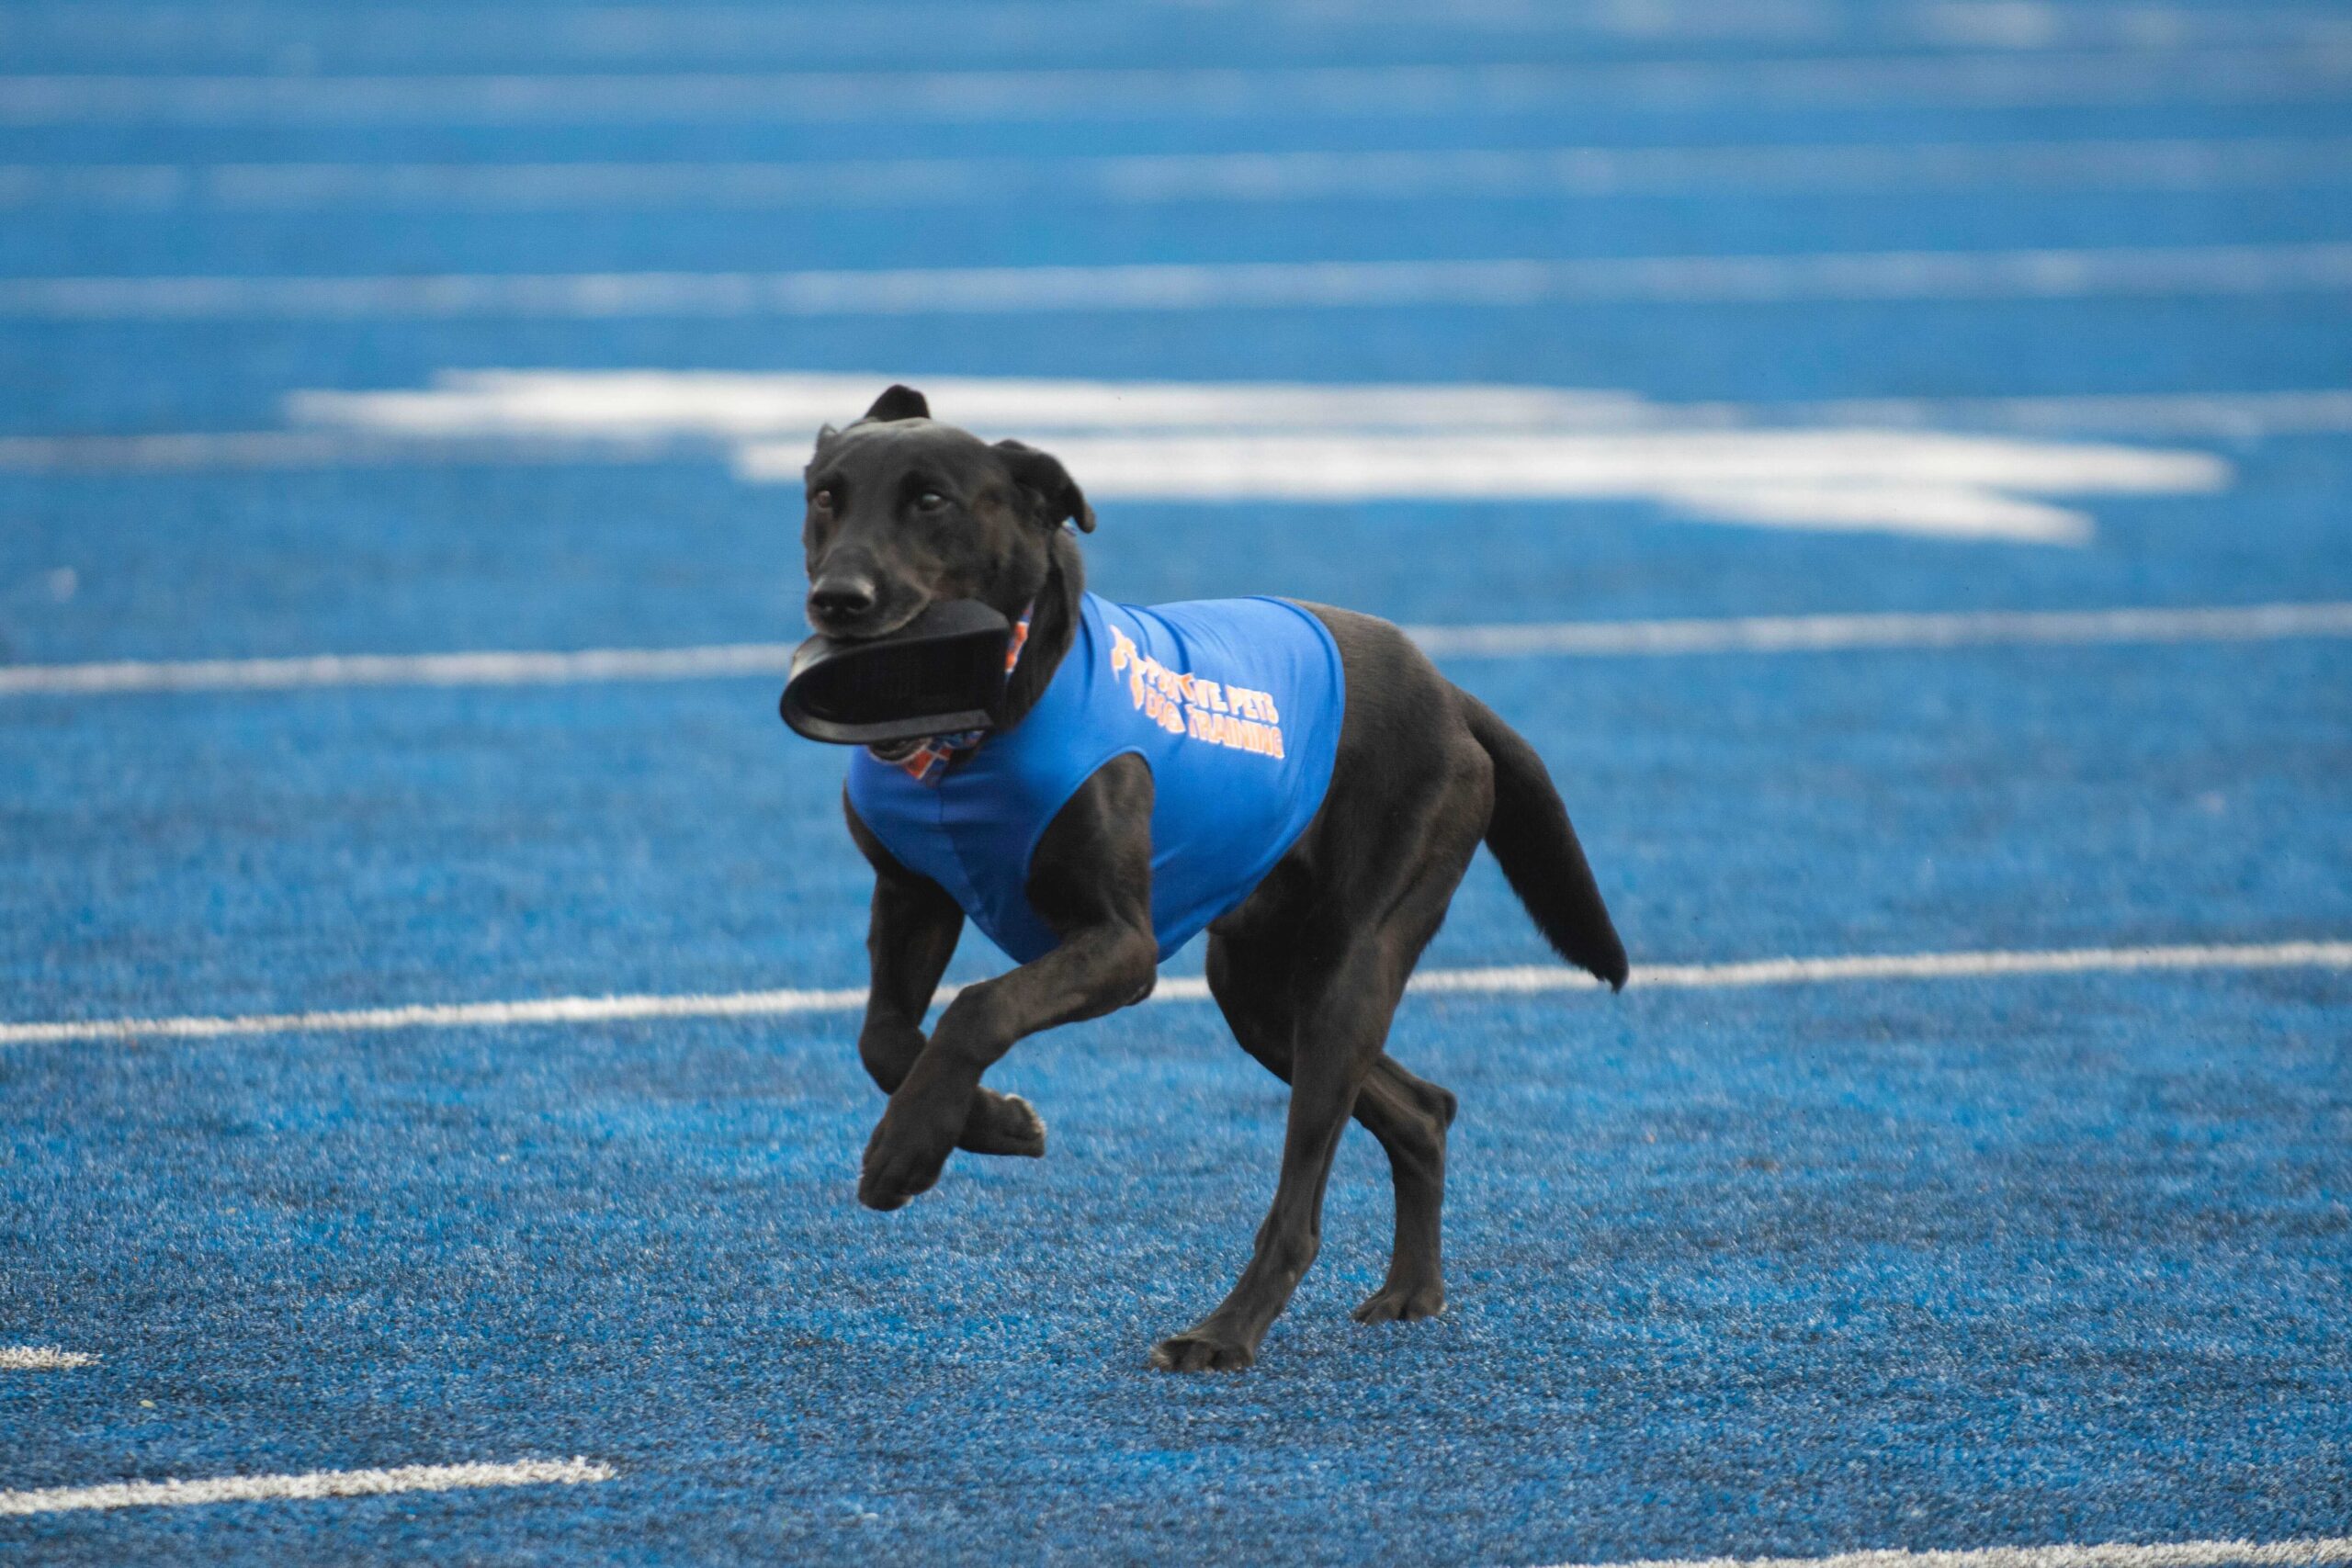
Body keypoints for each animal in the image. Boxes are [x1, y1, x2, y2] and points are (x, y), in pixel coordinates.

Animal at [803, 384, 1627, 1371]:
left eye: (932, 500)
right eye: (824, 497)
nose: (838, 599)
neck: (972, 737)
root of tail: (1448, 688)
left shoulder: (1123, 947)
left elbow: (978, 1005)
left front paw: (908, 1151)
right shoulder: (911, 897)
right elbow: (885, 1039)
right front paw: (990, 1123)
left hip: (1355, 960)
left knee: (1300, 1204)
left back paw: (1222, 1332)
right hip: (1263, 992)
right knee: (1425, 1109)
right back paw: (1409, 1291)